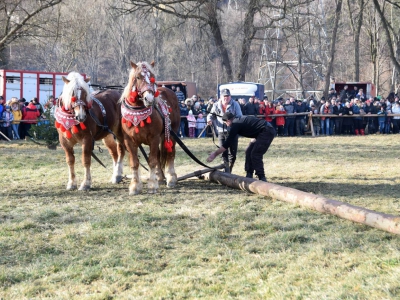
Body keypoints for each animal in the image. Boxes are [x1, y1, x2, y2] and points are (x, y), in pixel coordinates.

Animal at [119, 60, 180, 195]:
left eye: (152, 78)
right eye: (138, 77)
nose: (149, 98)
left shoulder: (154, 138)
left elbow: (152, 161)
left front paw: (152, 185)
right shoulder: (129, 141)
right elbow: (135, 163)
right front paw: (135, 186)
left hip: (172, 133)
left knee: (171, 153)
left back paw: (171, 178)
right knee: (159, 155)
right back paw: (160, 177)